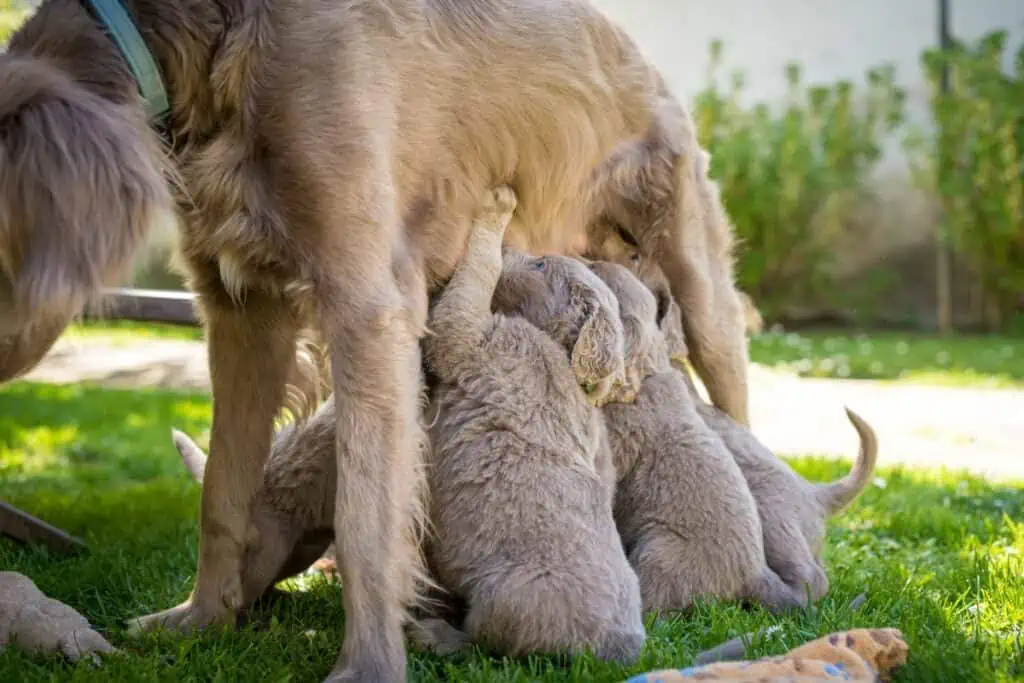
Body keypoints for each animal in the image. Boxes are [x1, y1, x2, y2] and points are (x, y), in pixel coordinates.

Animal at [2, 1, 753, 683]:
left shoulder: (369, 307)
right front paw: (202, 618)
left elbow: (365, 511)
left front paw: (367, 665)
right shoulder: (241, 311)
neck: (212, 38)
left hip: (703, 292)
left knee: (735, 411)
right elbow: (223, 489)